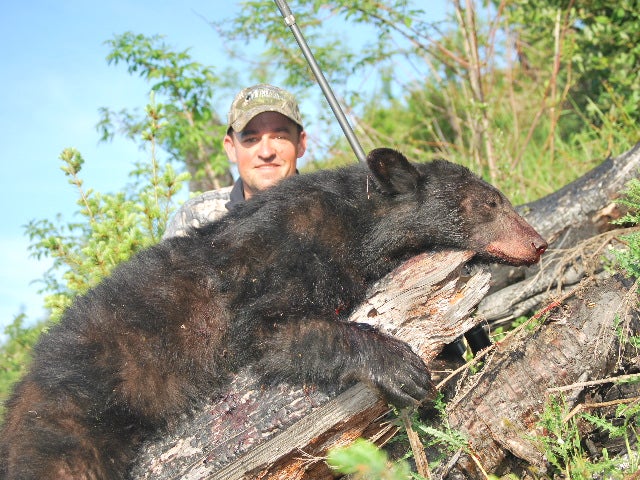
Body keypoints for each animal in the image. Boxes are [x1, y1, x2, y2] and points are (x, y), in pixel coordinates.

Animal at [0, 148, 547, 479]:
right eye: (489, 203)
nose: (538, 243)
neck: (359, 224)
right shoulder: (284, 257)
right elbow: (270, 329)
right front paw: (400, 365)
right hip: (69, 419)